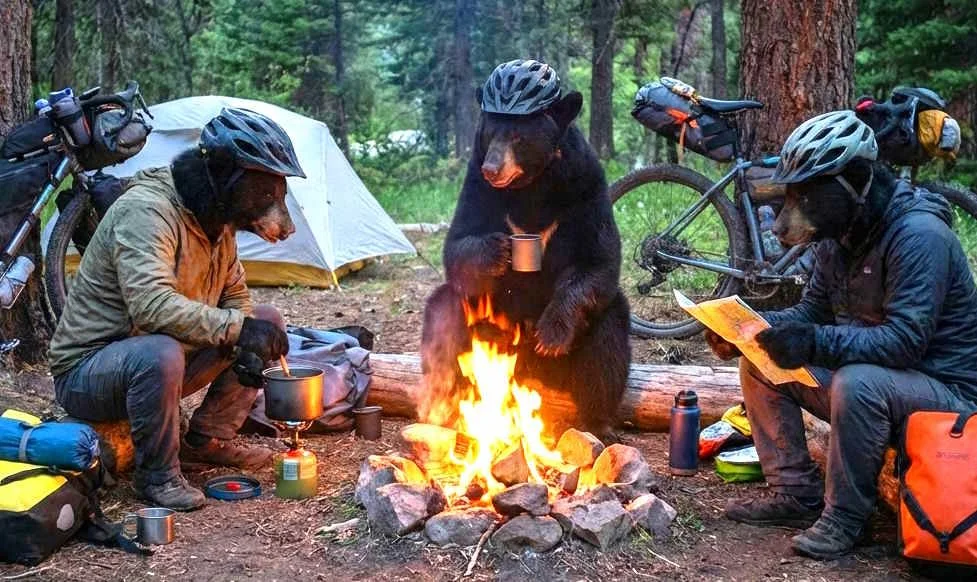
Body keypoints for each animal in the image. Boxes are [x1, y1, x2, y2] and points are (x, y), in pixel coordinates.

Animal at [419, 88, 631, 440]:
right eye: (491, 131)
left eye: (519, 136)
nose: (492, 168)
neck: (533, 186)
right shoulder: (477, 186)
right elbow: (458, 243)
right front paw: (497, 250)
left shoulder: (585, 186)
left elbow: (598, 260)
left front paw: (551, 335)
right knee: (445, 309)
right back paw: (445, 403)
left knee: (608, 329)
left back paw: (597, 423)